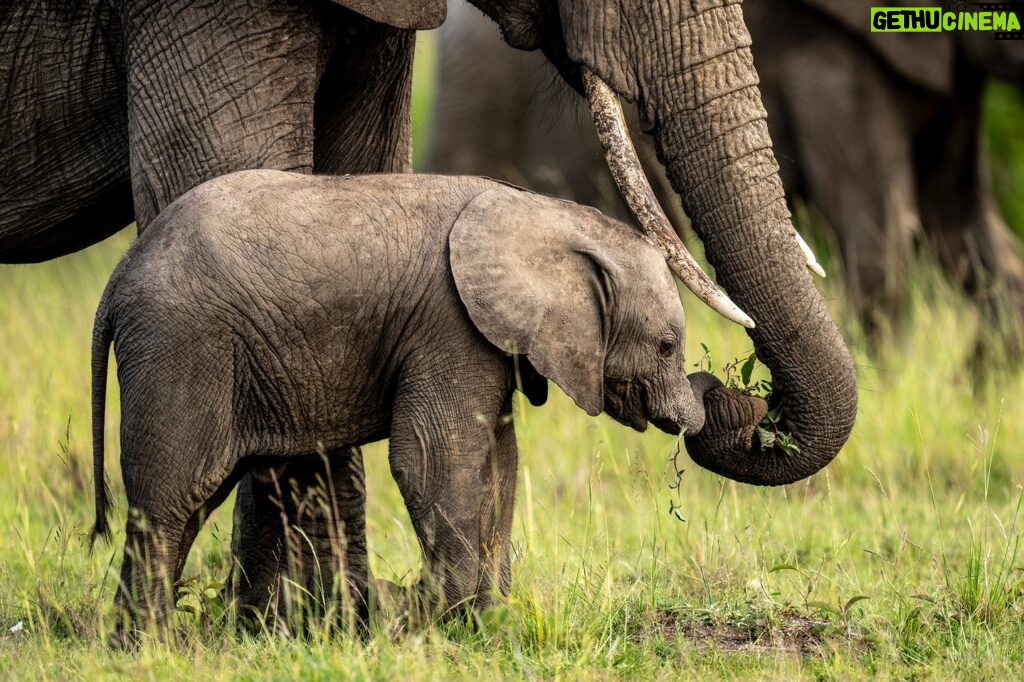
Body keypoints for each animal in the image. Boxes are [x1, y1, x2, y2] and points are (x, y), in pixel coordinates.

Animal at [92, 168, 708, 630]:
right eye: (666, 346)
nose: (695, 413)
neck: (545, 214)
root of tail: (117, 276)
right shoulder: (450, 325)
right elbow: (435, 458)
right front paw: (449, 618)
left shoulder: (488, 340)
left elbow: (500, 462)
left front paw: (490, 614)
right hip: (181, 348)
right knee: (169, 500)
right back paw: (155, 646)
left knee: (190, 504)